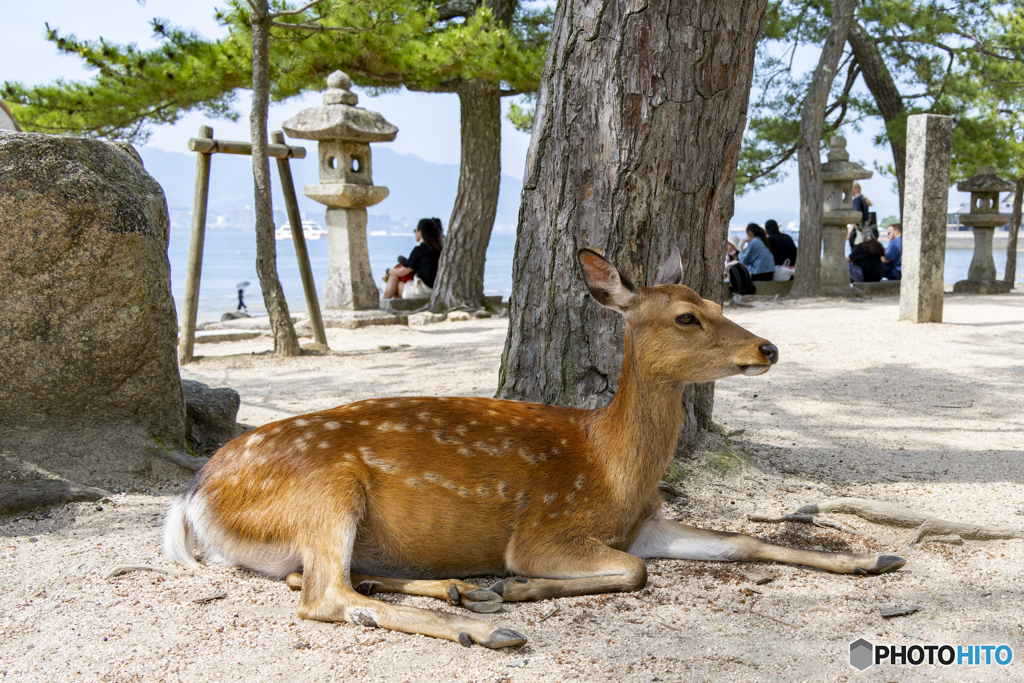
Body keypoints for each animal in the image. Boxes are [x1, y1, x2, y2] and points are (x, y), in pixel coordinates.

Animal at [163, 248, 909, 651]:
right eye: (686, 316)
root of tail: (191, 499)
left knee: (316, 579)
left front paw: (875, 556)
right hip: (325, 491)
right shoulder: (548, 527)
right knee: (322, 593)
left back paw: (462, 590)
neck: (612, 468)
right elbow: (634, 572)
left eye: (718, 300)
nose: (768, 348)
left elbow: (743, 540)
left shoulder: (645, 523)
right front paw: (518, 589)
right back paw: (485, 625)